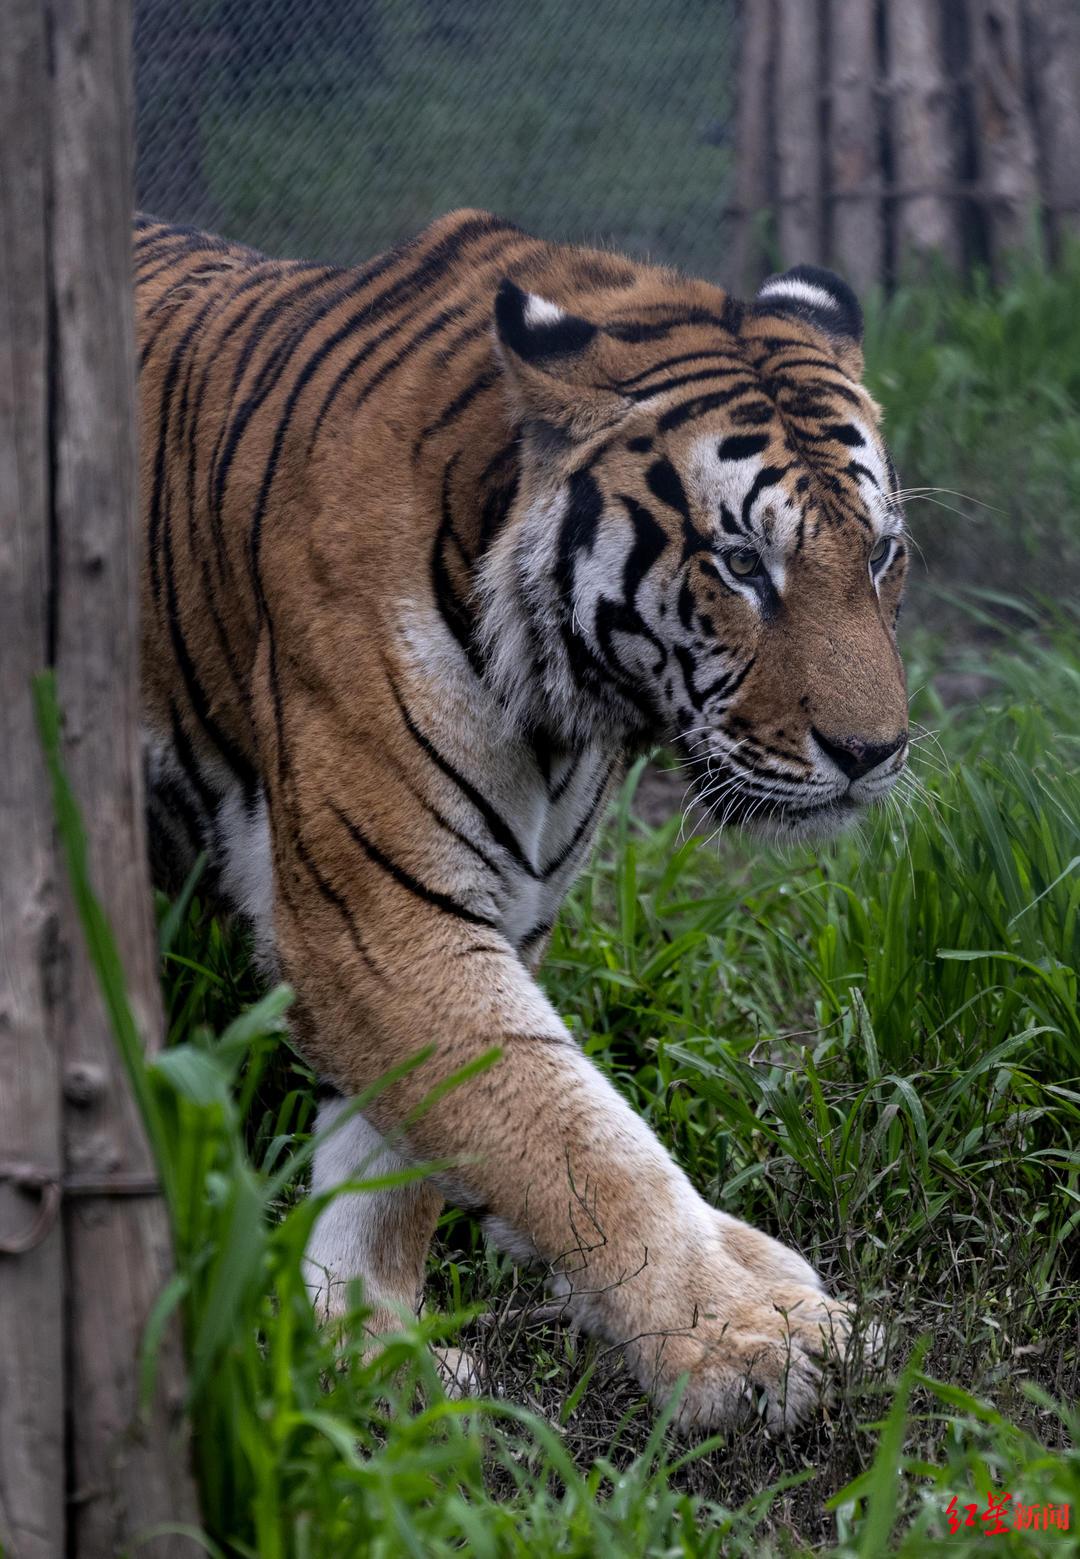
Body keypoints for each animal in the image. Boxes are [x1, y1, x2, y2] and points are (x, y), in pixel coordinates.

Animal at [134, 210, 910, 1434]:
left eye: (879, 552)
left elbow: (404, 1158)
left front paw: (362, 1345)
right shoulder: (379, 917)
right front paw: (748, 1343)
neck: (565, 703)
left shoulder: (491, 901)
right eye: (744, 563)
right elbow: (574, 1139)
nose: (875, 754)